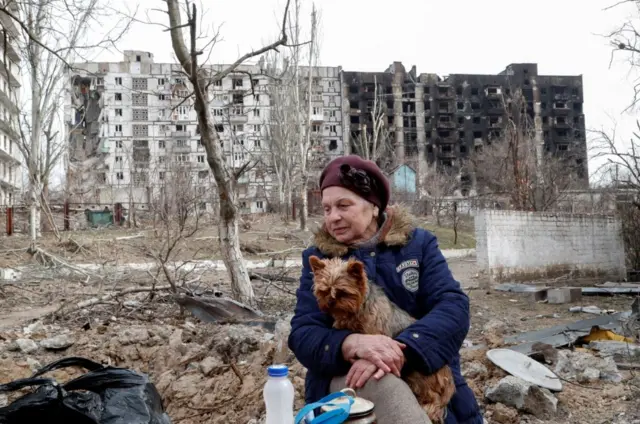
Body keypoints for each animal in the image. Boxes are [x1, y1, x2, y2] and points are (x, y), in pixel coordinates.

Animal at [308, 255, 456, 424]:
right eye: (324, 291)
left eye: (342, 292)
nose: (330, 302)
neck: (356, 310)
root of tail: (448, 380)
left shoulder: (375, 333)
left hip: (419, 376)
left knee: (431, 398)